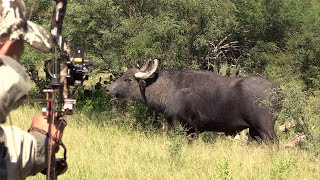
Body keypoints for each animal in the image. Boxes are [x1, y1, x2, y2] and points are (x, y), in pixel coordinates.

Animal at [106, 59, 278, 141]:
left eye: (128, 79)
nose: (108, 89)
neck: (170, 88)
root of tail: (276, 90)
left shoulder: (179, 125)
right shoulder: (192, 131)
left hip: (266, 129)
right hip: (254, 132)